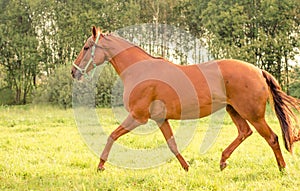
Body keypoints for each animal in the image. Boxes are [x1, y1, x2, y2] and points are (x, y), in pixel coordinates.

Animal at [71, 25, 300, 172]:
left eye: (86, 47)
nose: (74, 72)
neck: (140, 71)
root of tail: (258, 70)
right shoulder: (160, 119)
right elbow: (172, 145)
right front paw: (187, 167)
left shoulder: (138, 117)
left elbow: (111, 136)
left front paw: (100, 167)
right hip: (233, 110)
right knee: (244, 132)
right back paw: (222, 161)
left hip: (253, 114)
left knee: (272, 138)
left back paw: (282, 169)